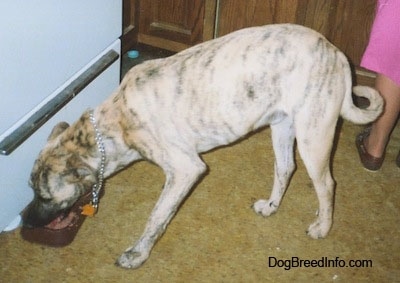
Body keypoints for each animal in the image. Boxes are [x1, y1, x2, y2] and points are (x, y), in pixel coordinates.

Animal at [23, 23, 382, 268]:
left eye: (45, 196)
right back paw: (272, 206)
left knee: (327, 184)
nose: (25, 221)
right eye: (31, 190)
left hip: (313, 135)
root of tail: (336, 53)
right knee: (286, 168)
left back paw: (323, 226)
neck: (117, 119)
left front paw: (137, 254)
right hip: (282, 127)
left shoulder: (185, 170)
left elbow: (156, 218)